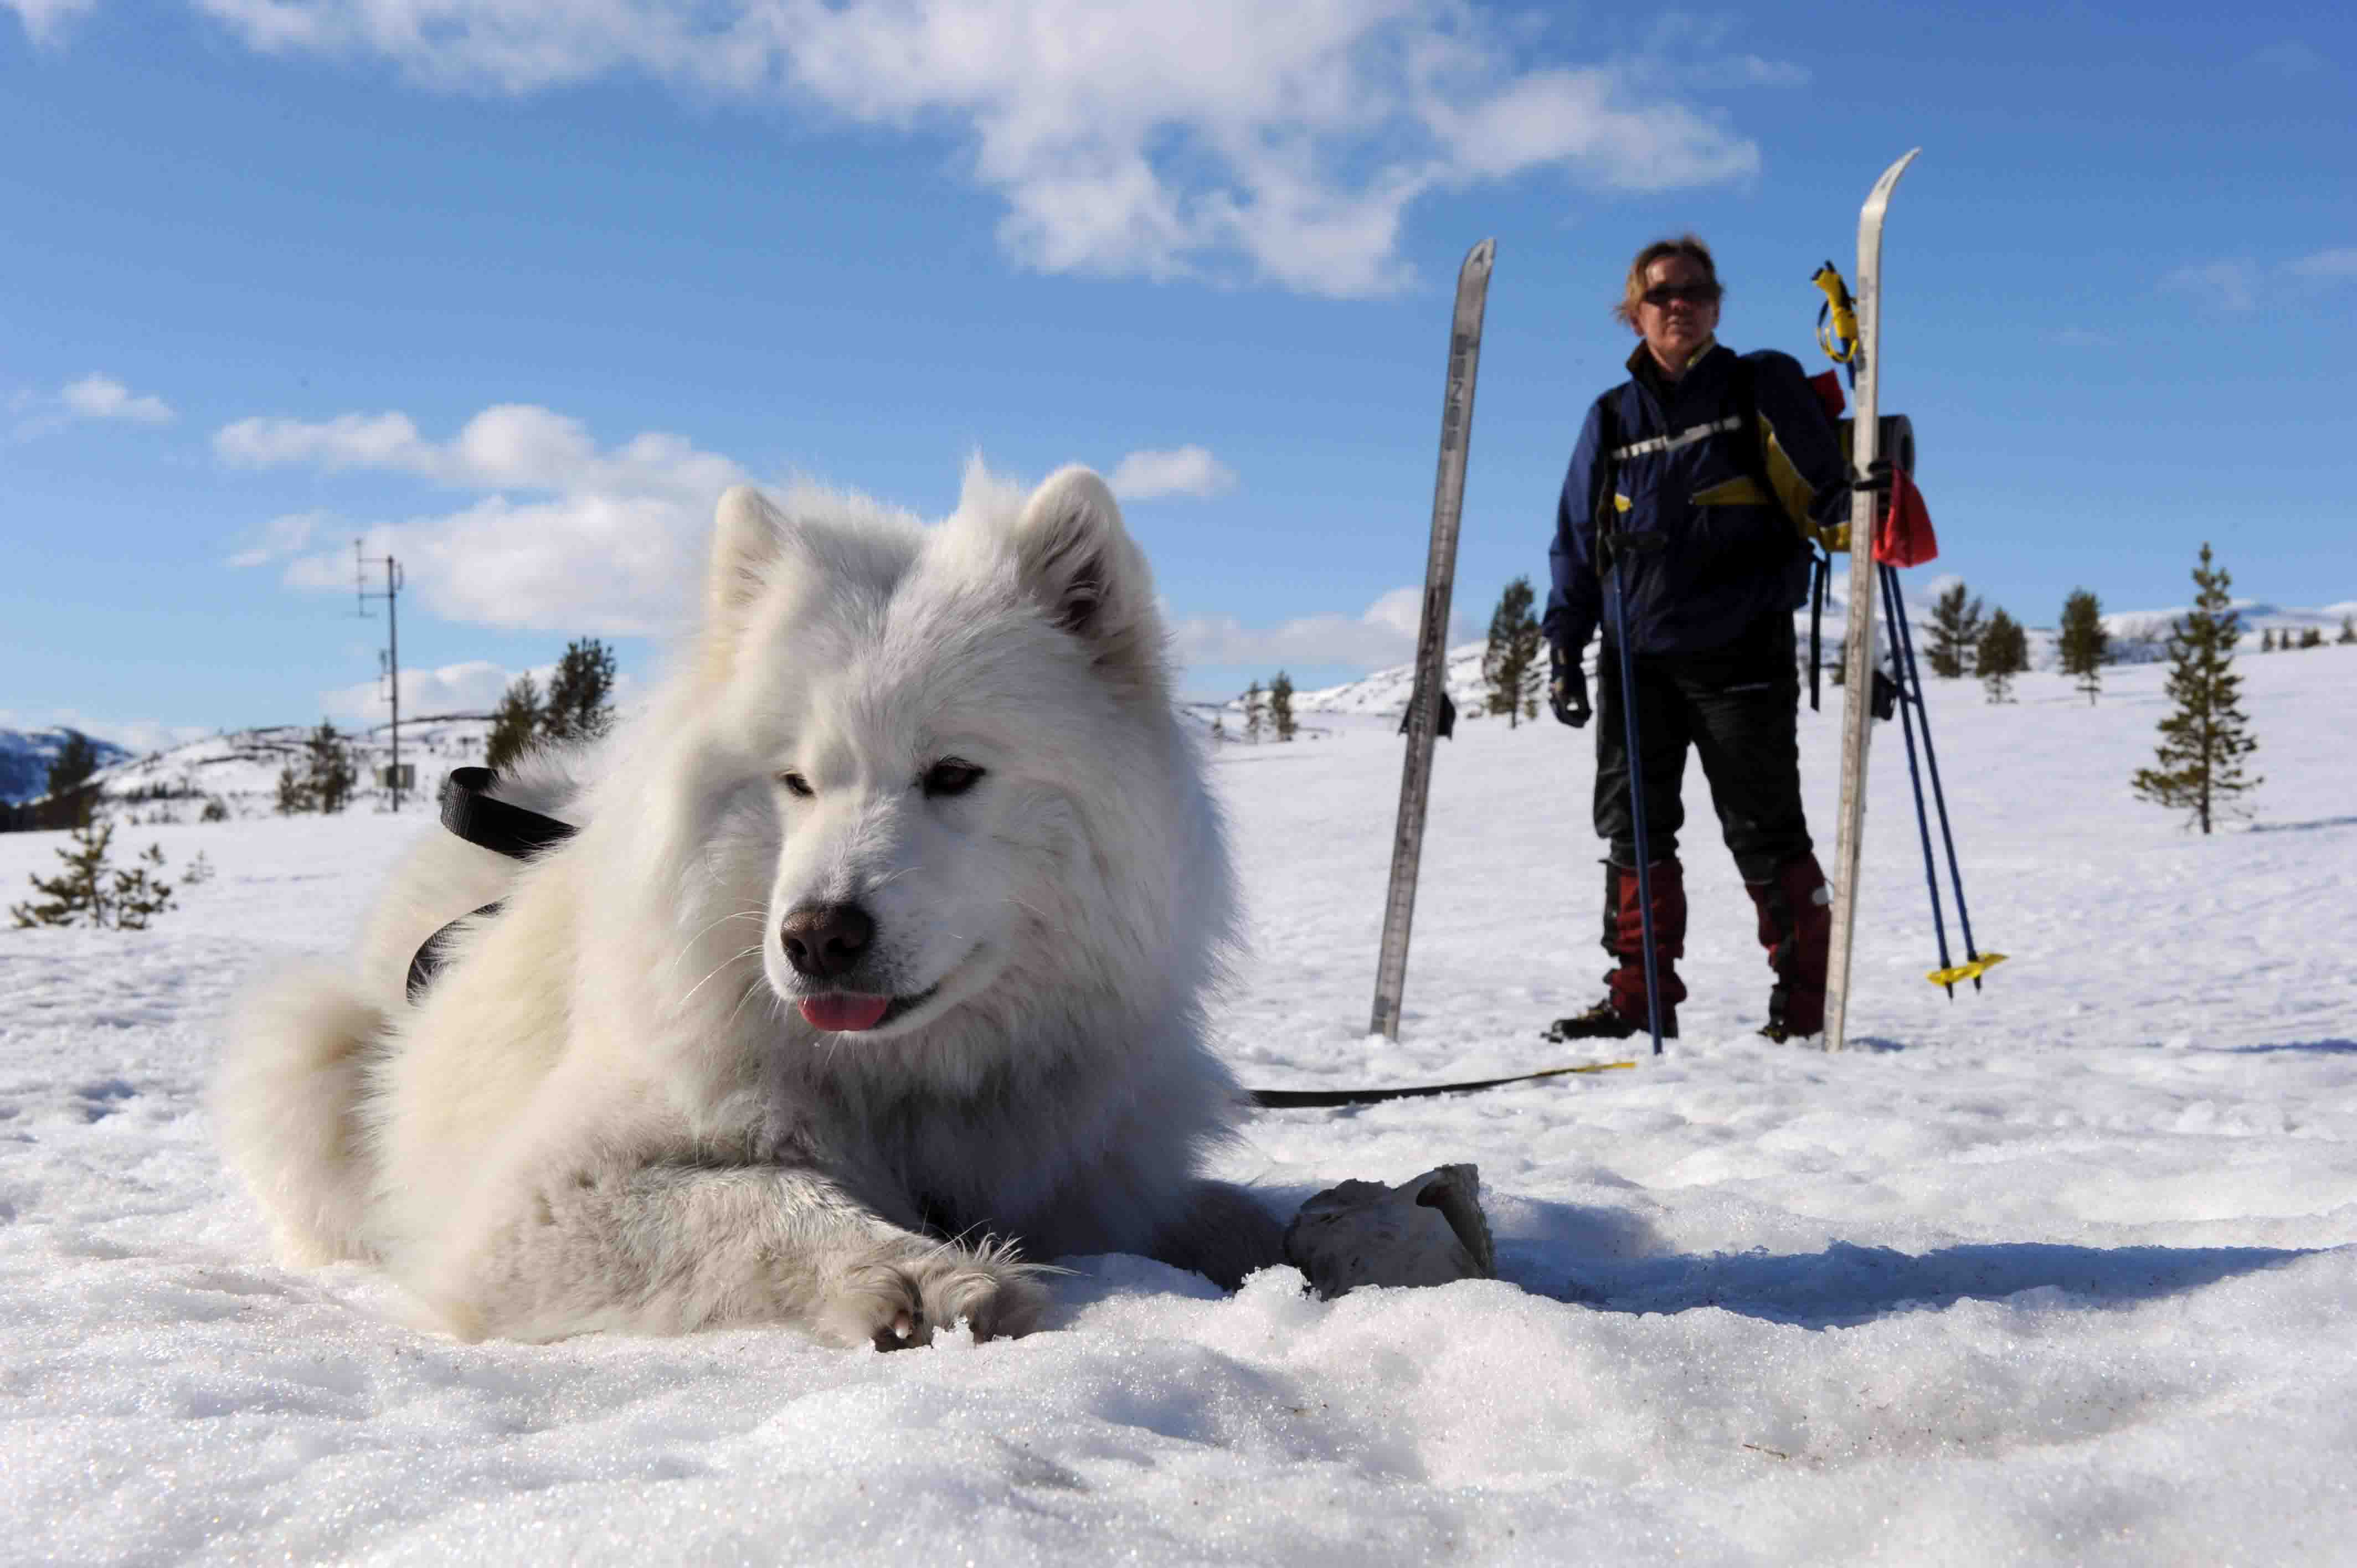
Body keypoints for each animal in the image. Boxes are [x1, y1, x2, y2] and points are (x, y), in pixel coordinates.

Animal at [217, 462, 1291, 1348]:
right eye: (796, 782)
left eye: (953, 774)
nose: (817, 937)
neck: (899, 1083)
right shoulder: (530, 1205)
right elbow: (761, 1194)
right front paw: (922, 1272)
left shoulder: (1096, 1172)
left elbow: (1232, 1212)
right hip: (305, 1049)